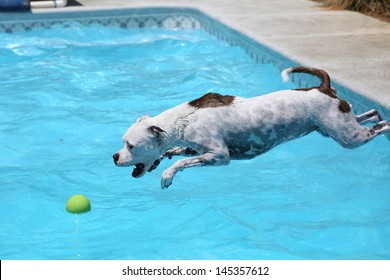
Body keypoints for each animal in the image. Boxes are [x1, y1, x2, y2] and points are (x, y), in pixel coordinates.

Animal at [112, 66, 386, 189]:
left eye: (131, 145)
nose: (114, 157)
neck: (184, 119)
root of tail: (323, 87)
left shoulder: (220, 156)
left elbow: (182, 162)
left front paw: (167, 176)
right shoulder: (199, 150)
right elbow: (181, 153)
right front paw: (167, 155)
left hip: (348, 137)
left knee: (382, 126)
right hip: (336, 127)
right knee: (370, 115)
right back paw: (376, 115)